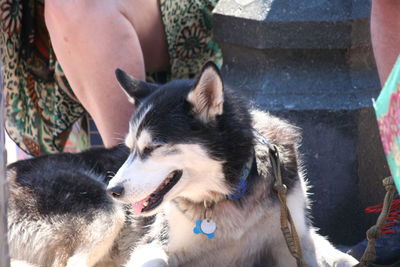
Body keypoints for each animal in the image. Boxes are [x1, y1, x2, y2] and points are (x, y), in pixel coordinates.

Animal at [6, 61, 358, 266]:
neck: (228, 196)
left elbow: (329, 253)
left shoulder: (292, 238)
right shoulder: (151, 246)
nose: (113, 189)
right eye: (129, 149)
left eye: (152, 147)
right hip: (102, 214)